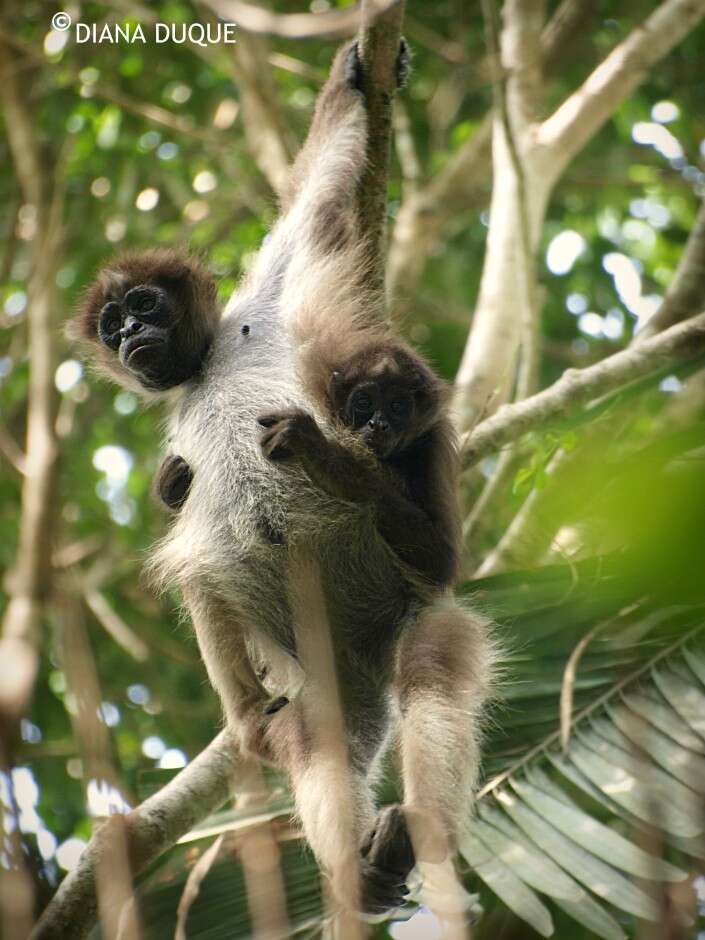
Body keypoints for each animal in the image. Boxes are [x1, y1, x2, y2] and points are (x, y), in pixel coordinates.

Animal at [69, 40, 492, 916]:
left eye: (143, 307)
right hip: (327, 678)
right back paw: (356, 860)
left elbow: (319, 193)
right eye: (112, 325)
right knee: (311, 736)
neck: (204, 365)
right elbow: (186, 523)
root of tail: (362, 658)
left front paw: (355, 76)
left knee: (434, 662)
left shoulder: (267, 296)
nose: (126, 337)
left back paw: (417, 829)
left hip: (403, 618)